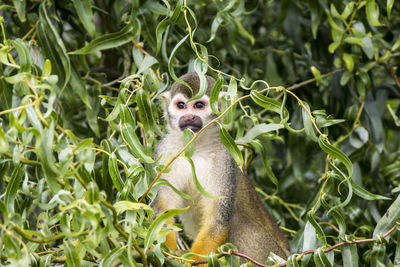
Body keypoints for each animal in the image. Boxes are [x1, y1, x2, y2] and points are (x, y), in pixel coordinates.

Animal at [152, 73, 290, 264]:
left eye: (199, 106)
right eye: (181, 106)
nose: (189, 117)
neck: (195, 146)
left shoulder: (225, 157)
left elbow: (216, 220)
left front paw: (192, 263)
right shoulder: (166, 151)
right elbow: (163, 209)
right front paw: (167, 255)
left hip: (273, 255)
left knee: (238, 222)